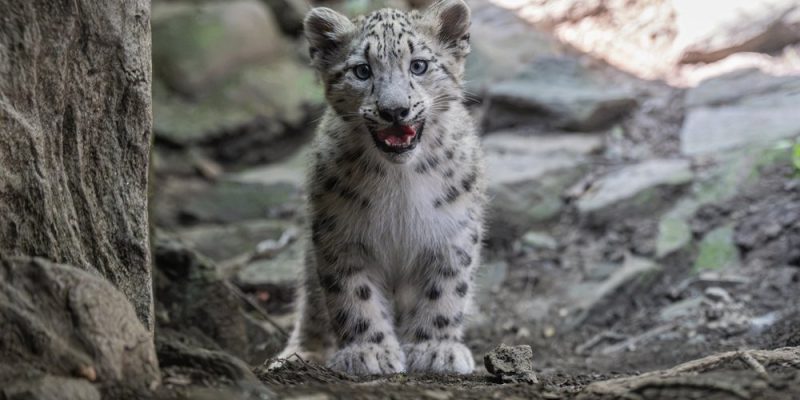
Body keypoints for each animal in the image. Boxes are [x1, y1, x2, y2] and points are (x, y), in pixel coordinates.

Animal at [276, 0, 486, 376]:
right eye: (362, 71)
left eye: (419, 65)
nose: (395, 110)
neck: (400, 182)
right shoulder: (340, 234)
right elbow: (353, 294)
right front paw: (369, 352)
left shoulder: (453, 230)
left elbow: (446, 289)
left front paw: (436, 348)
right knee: (311, 302)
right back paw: (300, 353)